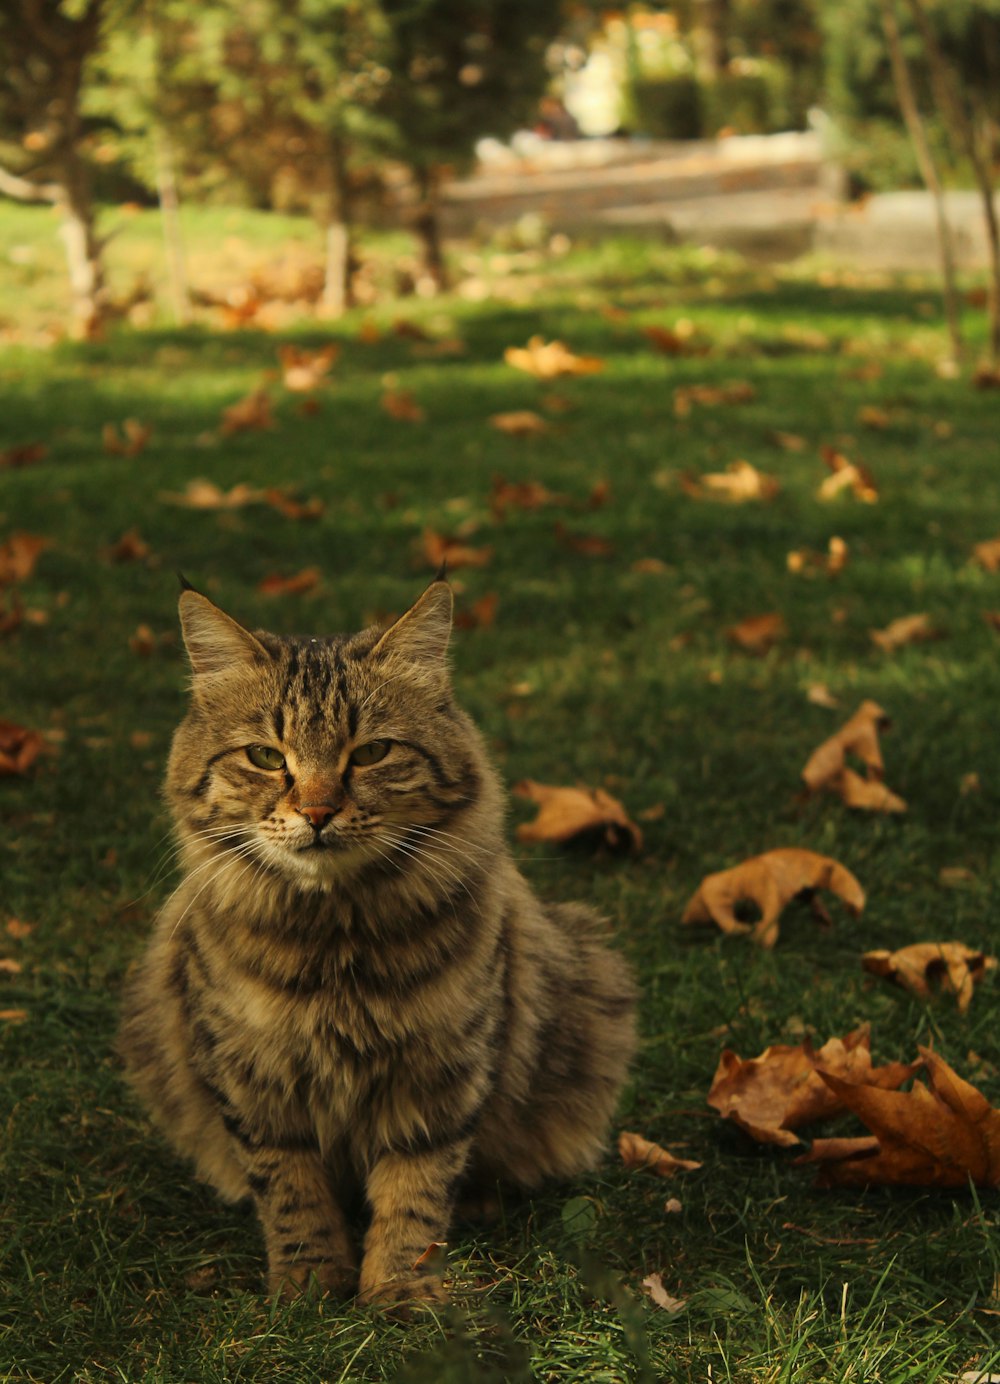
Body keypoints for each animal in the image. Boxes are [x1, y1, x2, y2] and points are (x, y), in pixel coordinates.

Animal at [117, 575, 633, 1306]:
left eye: (370, 753)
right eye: (266, 757)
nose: (317, 812)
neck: (336, 942)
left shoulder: (440, 1075)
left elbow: (414, 1192)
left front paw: (399, 1291)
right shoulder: (253, 1082)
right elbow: (291, 1193)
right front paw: (309, 1285)